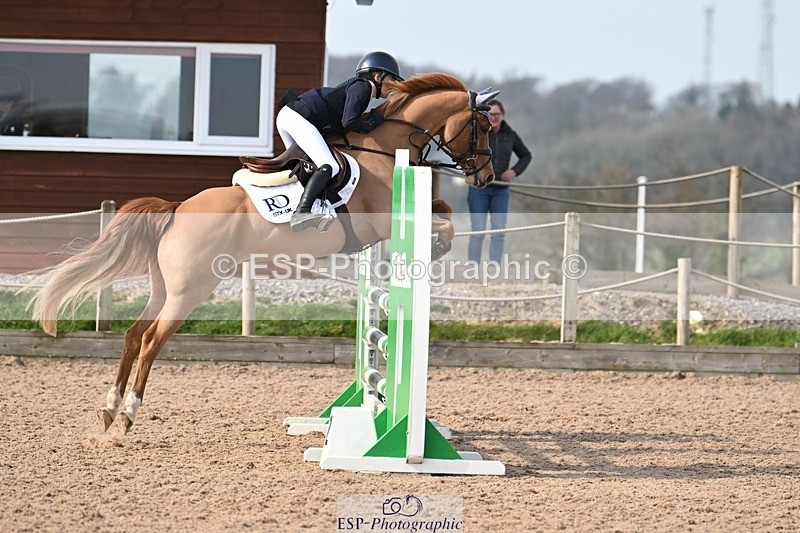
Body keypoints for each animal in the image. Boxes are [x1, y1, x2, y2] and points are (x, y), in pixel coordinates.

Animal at [27, 73, 497, 435]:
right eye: (485, 125)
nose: (487, 176)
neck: (386, 149)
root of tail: (178, 209)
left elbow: (445, 209)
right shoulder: (384, 221)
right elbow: (444, 219)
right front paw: (437, 247)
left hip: (165, 287)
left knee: (132, 335)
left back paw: (109, 409)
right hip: (190, 291)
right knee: (150, 341)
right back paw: (128, 415)